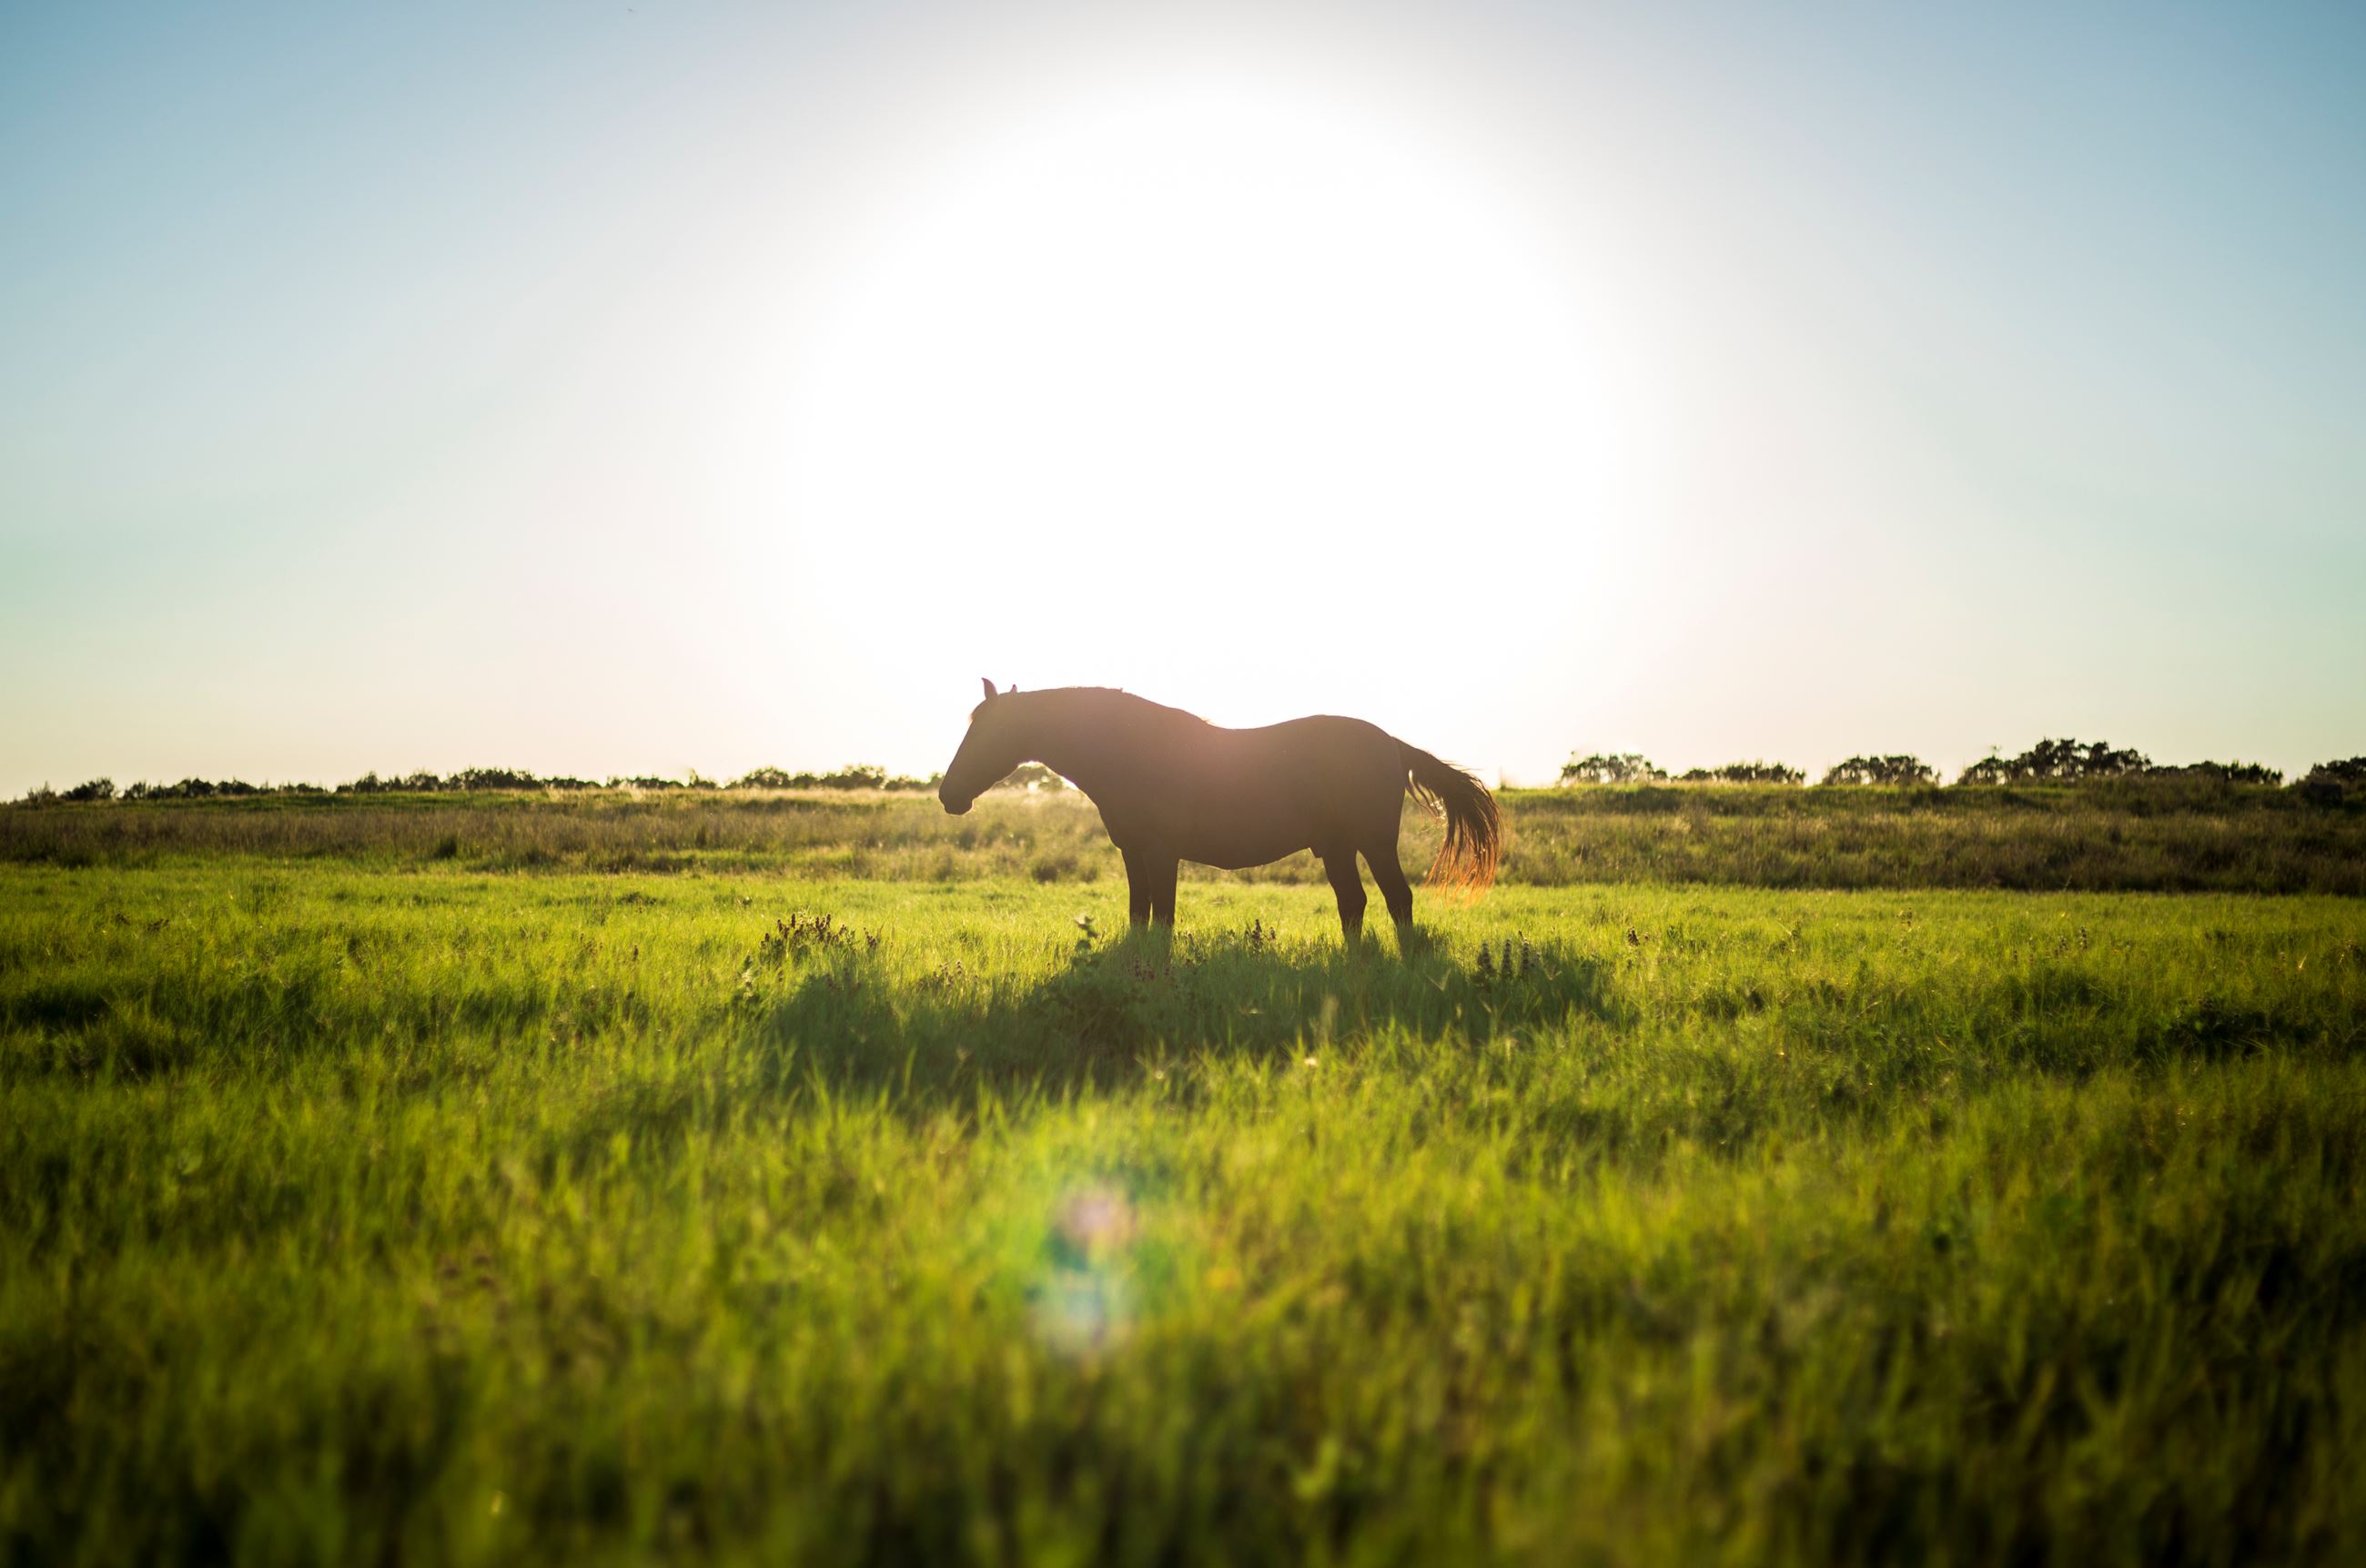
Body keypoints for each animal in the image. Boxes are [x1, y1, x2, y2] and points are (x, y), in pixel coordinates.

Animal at [937, 680, 1502, 944]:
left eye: (986, 731)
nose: (949, 795)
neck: (1128, 751)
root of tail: (1393, 745)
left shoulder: (1161, 854)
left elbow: (1162, 917)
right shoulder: (1133, 854)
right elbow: (1140, 915)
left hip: (1374, 843)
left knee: (1397, 900)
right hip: (1337, 848)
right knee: (1354, 904)